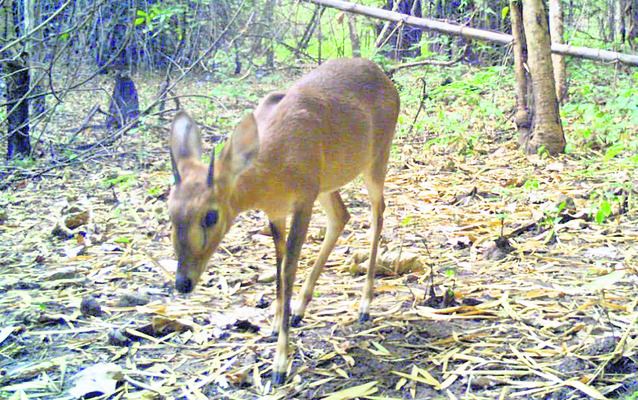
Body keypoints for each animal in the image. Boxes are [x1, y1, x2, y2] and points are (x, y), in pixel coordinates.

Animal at [169, 57, 400, 386]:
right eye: (169, 211)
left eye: (210, 215)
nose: (183, 283)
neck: (270, 168)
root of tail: (385, 77)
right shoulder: (277, 212)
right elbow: (279, 267)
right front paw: (276, 323)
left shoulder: (303, 199)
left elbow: (289, 268)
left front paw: (280, 363)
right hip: (327, 184)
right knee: (341, 216)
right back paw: (300, 309)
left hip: (377, 158)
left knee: (377, 213)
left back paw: (365, 306)